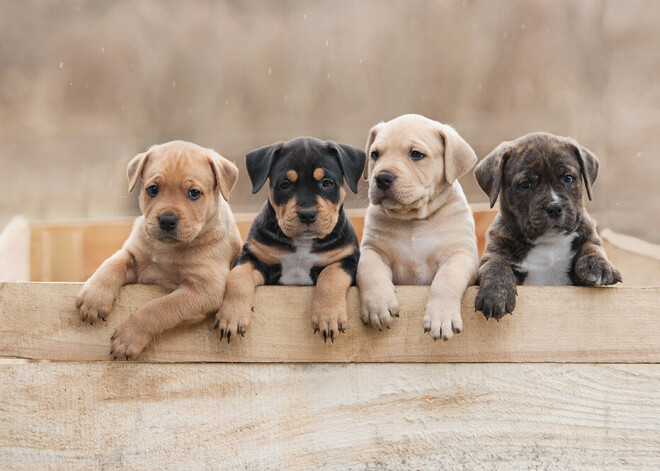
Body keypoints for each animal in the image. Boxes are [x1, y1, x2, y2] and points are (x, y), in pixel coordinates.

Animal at [76, 142, 242, 360]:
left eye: (194, 193)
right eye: (153, 189)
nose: (167, 220)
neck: (167, 249)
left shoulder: (204, 290)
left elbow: (159, 307)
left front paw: (129, 337)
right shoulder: (134, 255)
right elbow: (112, 264)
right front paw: (94, 297)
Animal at [213, 136, 364, 342]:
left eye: (327, 183)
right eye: (284, 185)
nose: (307, 214)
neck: (302, 243)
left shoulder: (348, 259)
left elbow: (331, 275)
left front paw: (328, 317)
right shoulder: (254, 258)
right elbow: (237, 277)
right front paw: (231, 317)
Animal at [358, 115, 476, 342]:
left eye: (416, 154)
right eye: (375, 154)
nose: (382, 177)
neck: (413, 220)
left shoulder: (460, 254)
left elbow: (446, 279)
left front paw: (442, 317)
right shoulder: (372, 250)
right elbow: (369, 270)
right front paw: (378, 304)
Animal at [474, 132, 620, 320]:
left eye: (568, 178)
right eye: (525, 184)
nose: (554, 207)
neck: (548, 241)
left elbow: (592, 246)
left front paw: (598, 266)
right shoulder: (493, 254)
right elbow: (495, 264)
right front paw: (495, 294)